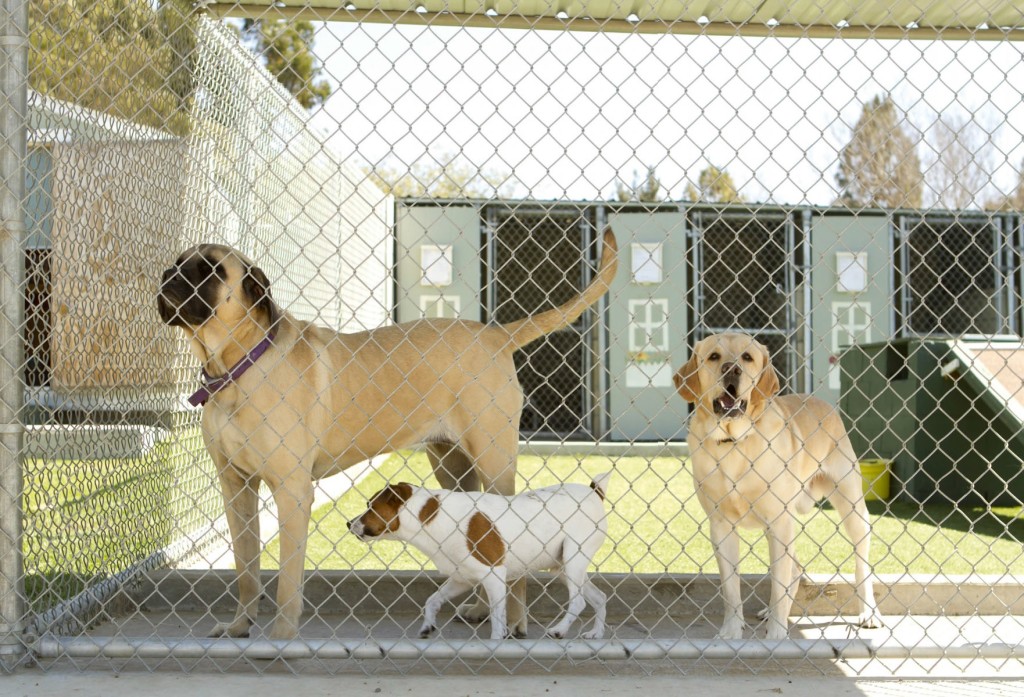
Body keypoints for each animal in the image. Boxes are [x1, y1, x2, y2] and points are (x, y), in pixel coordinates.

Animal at [348, 472, 610, 642]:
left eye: (370, 506)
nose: (348, 523)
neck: (431, 516)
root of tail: (593, 491)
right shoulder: (461, 578)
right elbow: (432, 600)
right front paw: (427, 626)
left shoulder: (494, 576)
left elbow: (496, 618)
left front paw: (496, 642)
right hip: (563, 568)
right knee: (599, 598)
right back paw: (596, 633)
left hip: (573, 560)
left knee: (578, 602)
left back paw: (559, 630)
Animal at [671, 333, 880, 638]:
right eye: (713, 357)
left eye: (747, 357)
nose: (731, 369)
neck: (735, 443)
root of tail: (821, 402)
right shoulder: (721, 527)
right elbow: (731, 589)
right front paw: (731, 631)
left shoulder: (779, 522)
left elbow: (778, 586)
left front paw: (778, 635)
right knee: (794, 569)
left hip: (852, 511)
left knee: (861, 566)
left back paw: (869, 612)